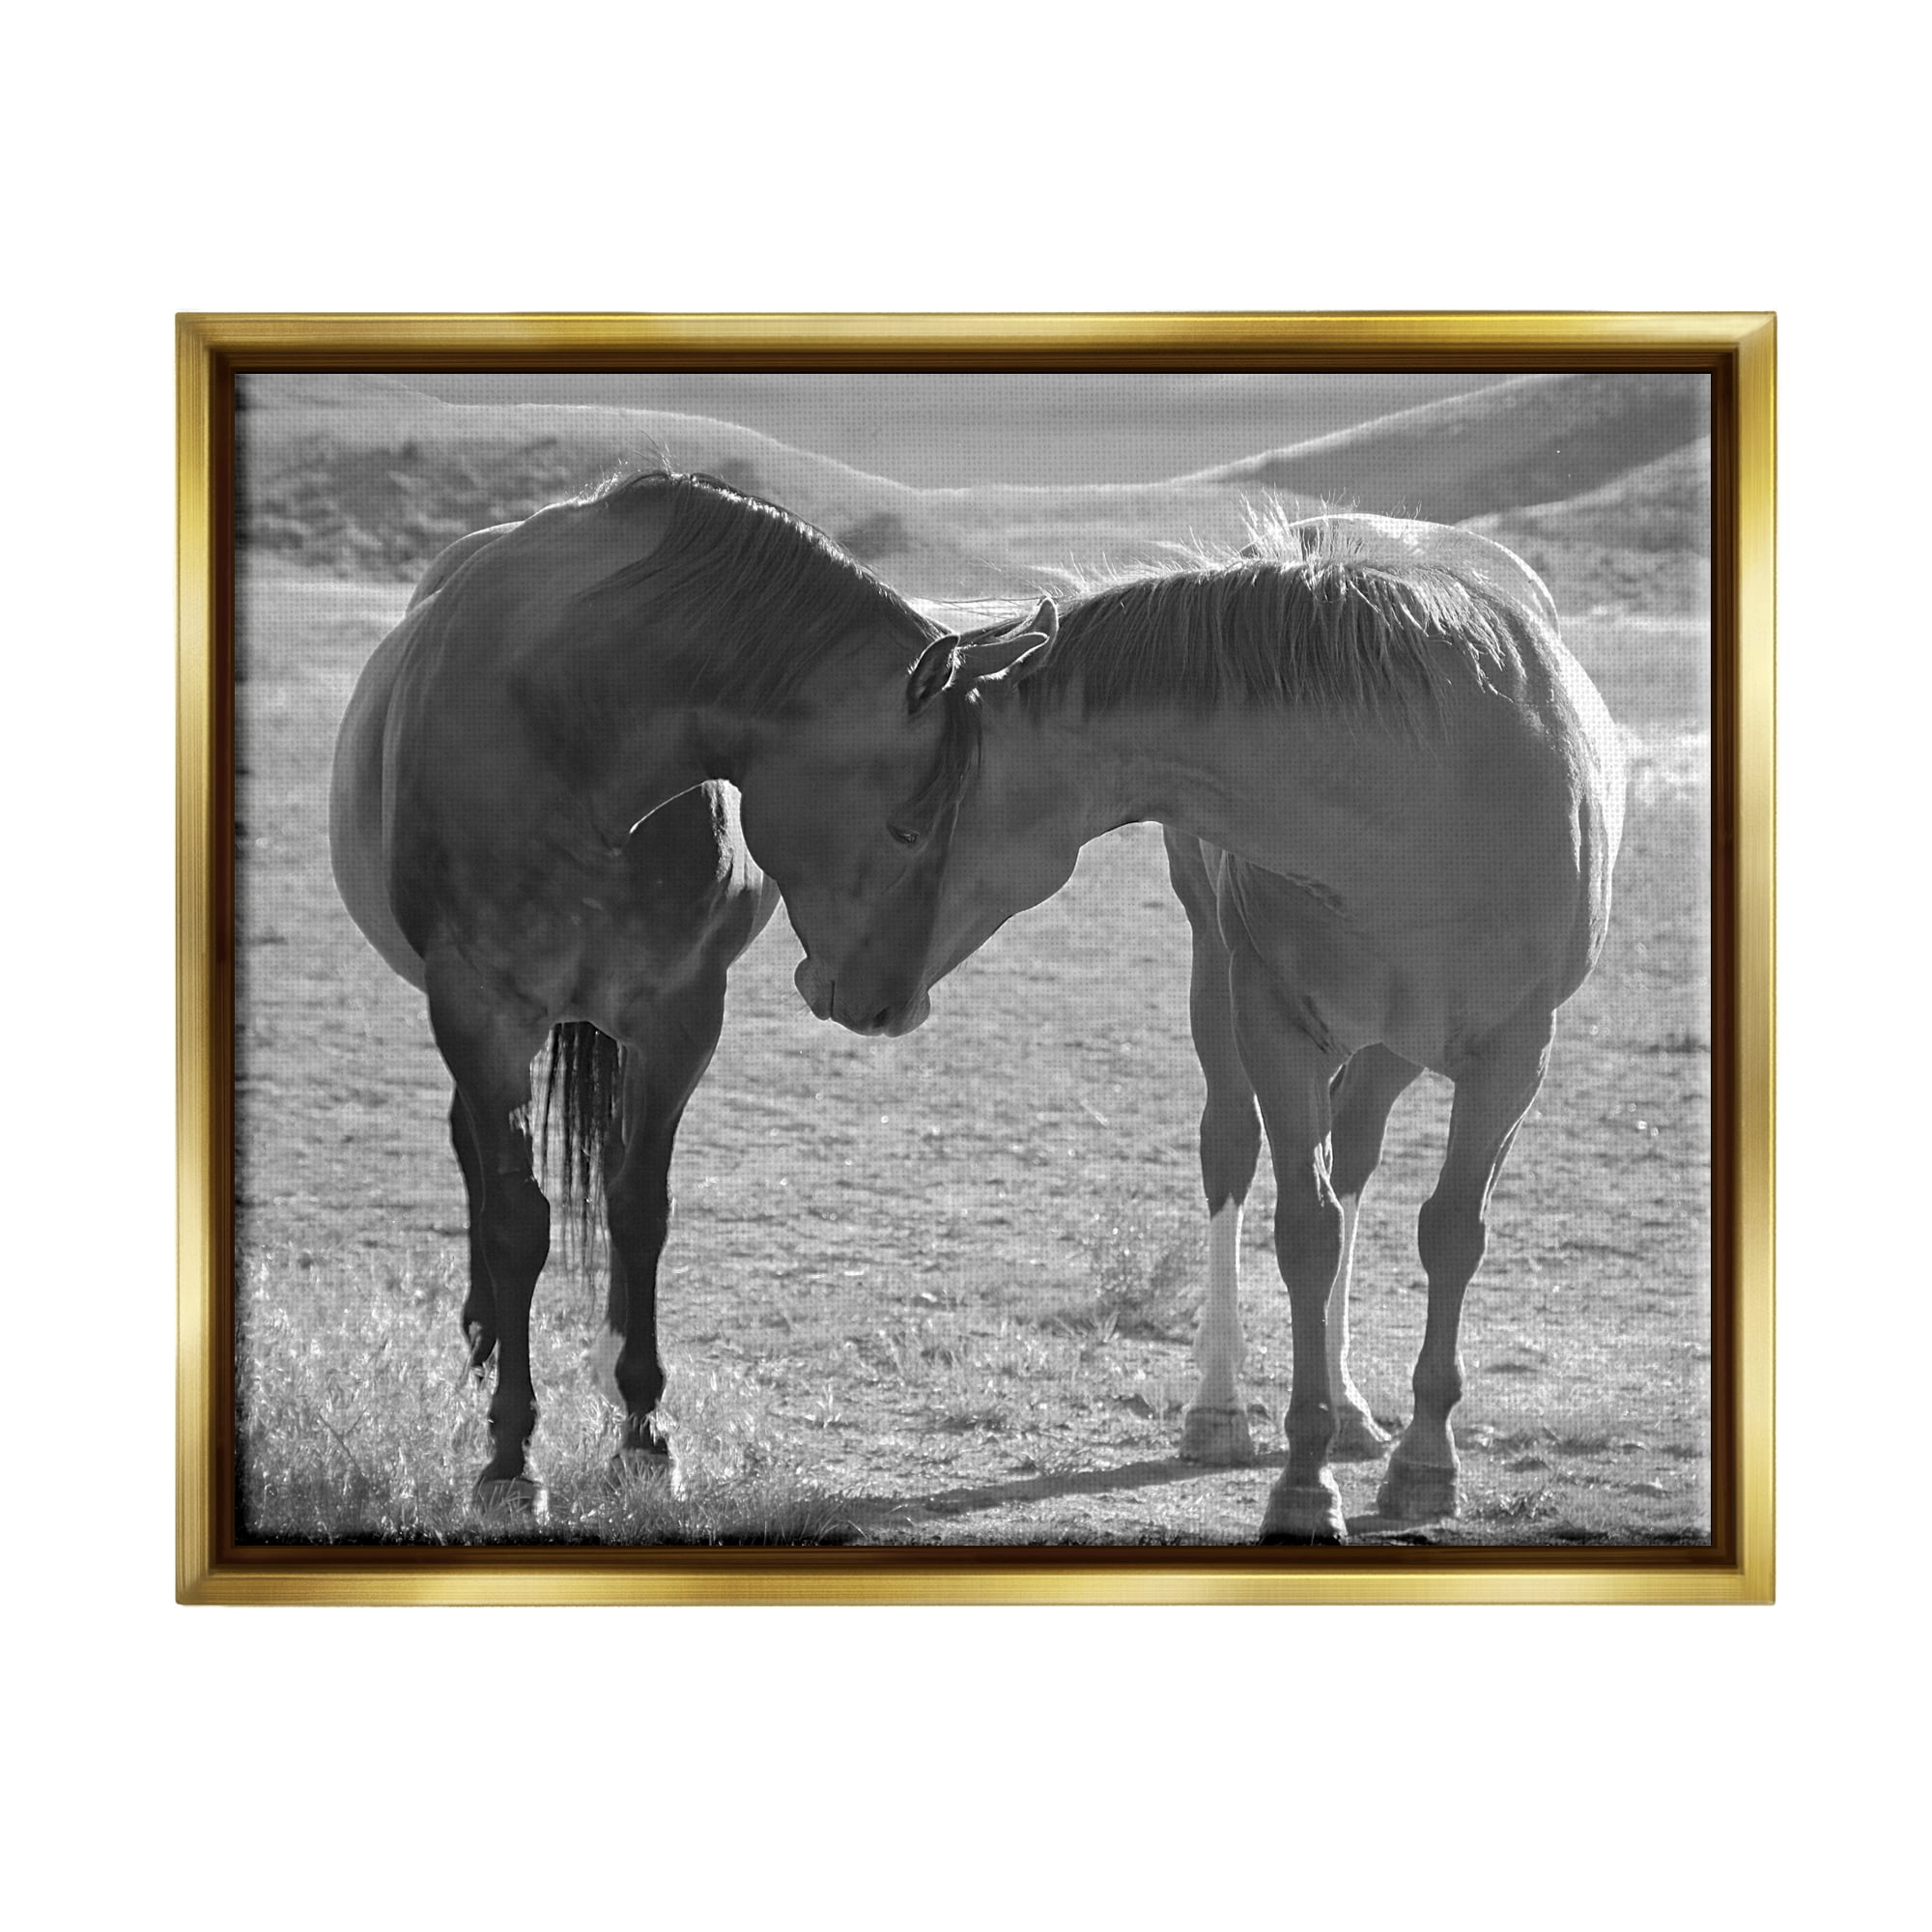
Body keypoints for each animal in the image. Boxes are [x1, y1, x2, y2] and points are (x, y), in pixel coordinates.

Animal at [328, 464, 1053, 1507]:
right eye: (909, 824)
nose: (890, 1005)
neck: (572, 734)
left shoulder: (677, 1019)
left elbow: (639, 1206)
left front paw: (642, 1430)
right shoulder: (478, 1012)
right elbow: (516, 1220)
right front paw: (509, 1454)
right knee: (474, 1153)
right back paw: (481, 1335)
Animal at [813, 511, 1627, 1544]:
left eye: (906, 825)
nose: (829, 984)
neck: (1424, 792)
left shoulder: (1514, 1056)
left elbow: (1448, 1233)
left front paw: (1424, 1464)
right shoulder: (1273, 1024)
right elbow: (1304, 1231)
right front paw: (1302, 1484)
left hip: (1392, 1047)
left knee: (1355, 1154)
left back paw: (1355, 1407)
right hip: (1222, 987)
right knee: (1233, 1152)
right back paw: (1219, 1408)